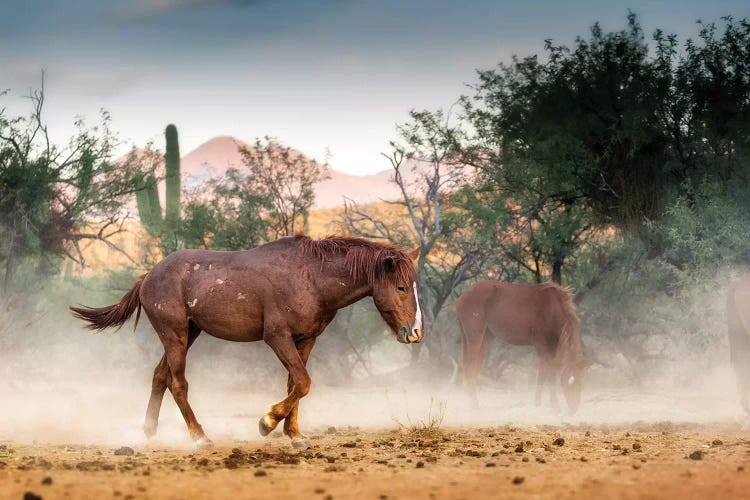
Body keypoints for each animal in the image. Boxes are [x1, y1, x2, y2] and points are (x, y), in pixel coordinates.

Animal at [71, 235, 426, 450]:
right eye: (401, 287)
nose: (415, 332)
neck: (310, 277)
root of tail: (148, 276)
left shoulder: (306, 339)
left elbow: (295, 384)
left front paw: (295, 435)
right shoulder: (277, 337)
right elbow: (303, 382)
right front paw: (267, 422)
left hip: (188, 335)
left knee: (160, 377)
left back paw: (148, 431)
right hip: (175, 336)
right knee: (177, 383)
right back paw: (199, 437)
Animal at [456, 280, 584, 412]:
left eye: (581, 384)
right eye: (570, 383)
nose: (574, 409)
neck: (552, 307)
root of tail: (461, 298)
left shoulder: (551, 348)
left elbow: (542, 374)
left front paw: (537, 403)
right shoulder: (542, 346)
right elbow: (549, 374)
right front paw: (555, 405)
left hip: (485, 339)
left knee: (472, 369)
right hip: (475, 339)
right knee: (470, 368)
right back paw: (475, 406)